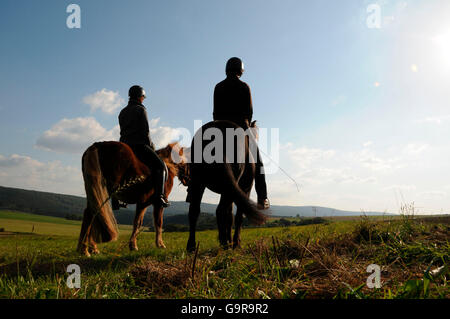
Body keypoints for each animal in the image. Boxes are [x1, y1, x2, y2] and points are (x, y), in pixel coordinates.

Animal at [186, 120, 268, 252]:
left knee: (194, 211)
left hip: (199, 183)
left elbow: (230, 217)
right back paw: (225, 244)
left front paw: (230, 239)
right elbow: (238, 216)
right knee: (220, 210)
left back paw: (192, 246)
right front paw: (235, 242)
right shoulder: (245, 189)